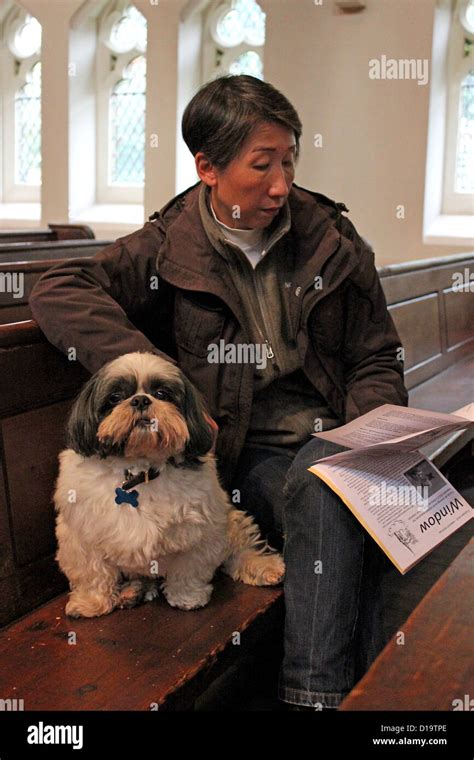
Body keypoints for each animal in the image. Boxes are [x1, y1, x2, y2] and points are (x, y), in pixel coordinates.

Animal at [55, 350, 286, 616]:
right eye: (115, 398)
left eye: (161, 394)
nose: (141, 400)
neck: (141, 472)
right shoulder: (80, 535)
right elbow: (91, 572)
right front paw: (90, 603)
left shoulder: (199, 530)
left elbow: (189, 569)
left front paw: (187, 597)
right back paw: (131, 591)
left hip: (231, 522)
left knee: (240, 546)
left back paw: (263, 566)